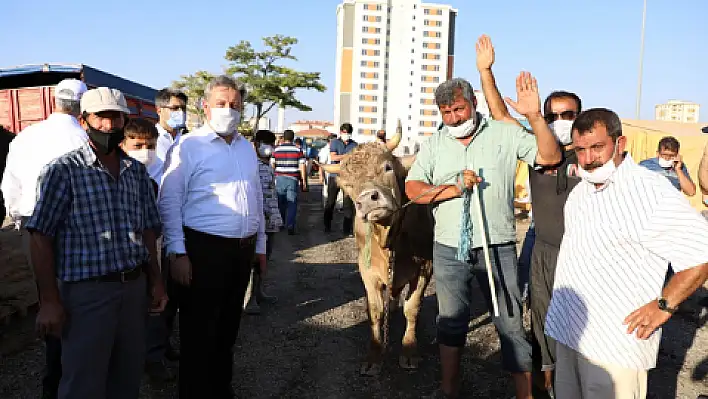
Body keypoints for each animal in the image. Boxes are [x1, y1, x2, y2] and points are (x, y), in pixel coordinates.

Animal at [320, 130, 432, 376]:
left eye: (387, 167)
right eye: (348, 184)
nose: (367, 200)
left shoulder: (425, 268)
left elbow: (412, 309)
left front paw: (409, 350)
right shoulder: (366, 269)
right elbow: (374, 311)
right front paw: (374, 357)